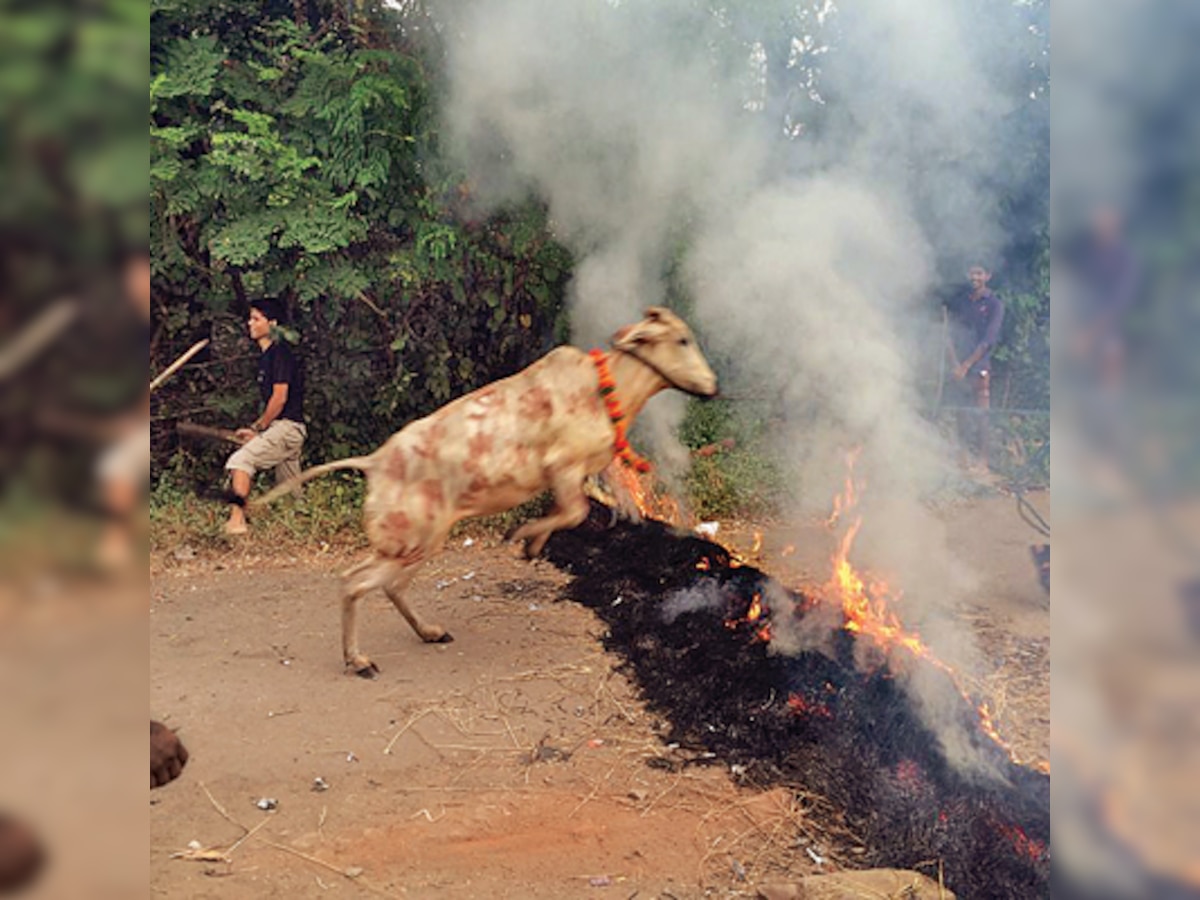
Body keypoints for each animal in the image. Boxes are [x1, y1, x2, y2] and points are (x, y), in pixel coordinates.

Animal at [256, 309, 715, 676]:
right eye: (681, 339)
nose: (712, 387)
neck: (608, 391)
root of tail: (375, 462)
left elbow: (582, 509)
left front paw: (534, 543)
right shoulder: (564, 468)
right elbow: (575, 512)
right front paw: (523, 538)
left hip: (419, 542)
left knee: (385, 586)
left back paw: (430, 632)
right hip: (408, 540)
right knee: (354, 583)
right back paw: (359, 661)